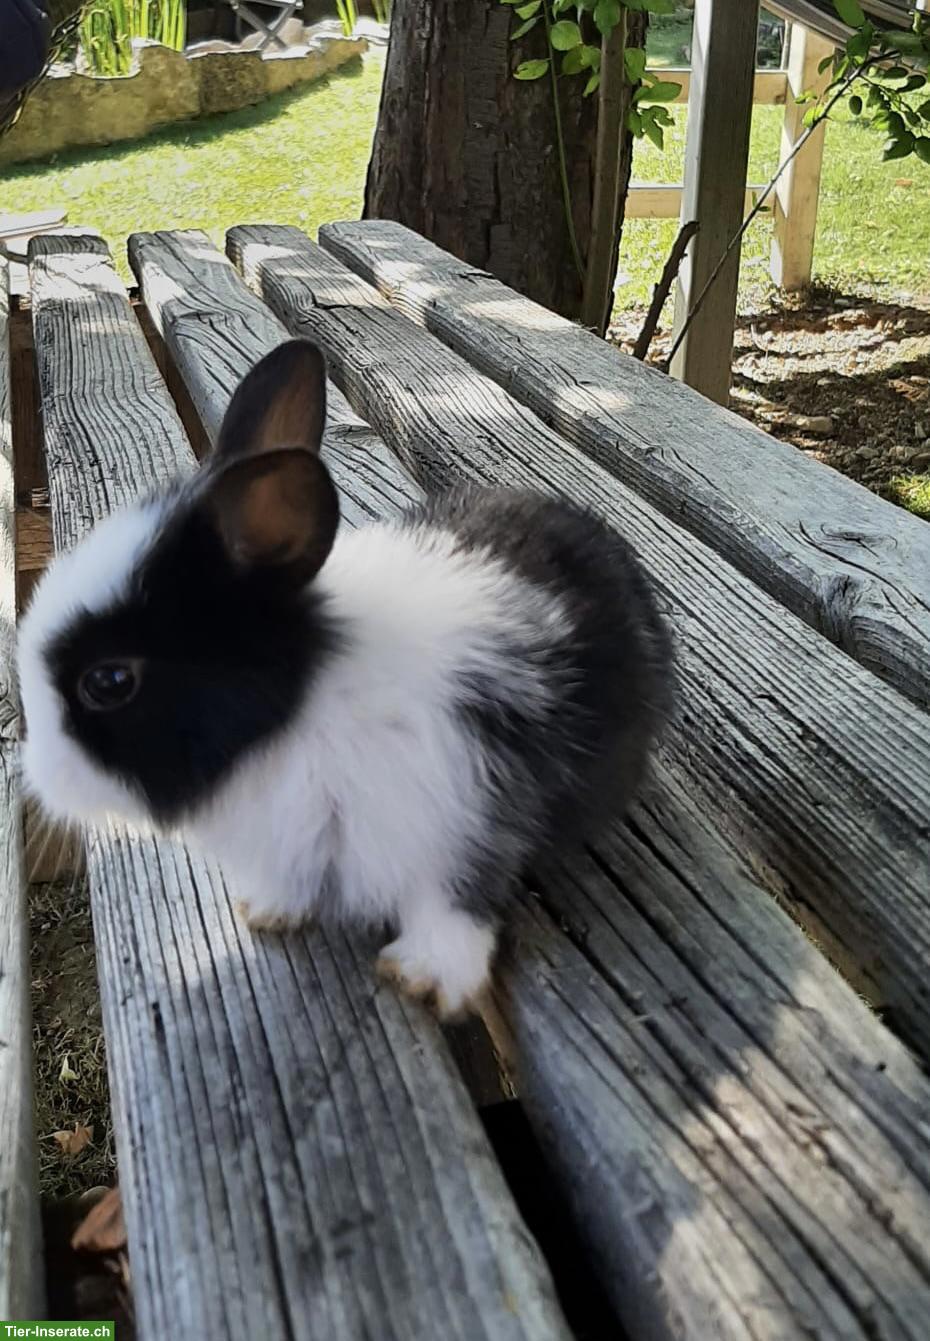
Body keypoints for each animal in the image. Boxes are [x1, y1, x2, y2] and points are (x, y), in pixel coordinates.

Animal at [17, 339, 673, 1018]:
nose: (36, 776)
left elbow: (454, 902)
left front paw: (424, 977)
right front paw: (267, 911)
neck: (303, 708)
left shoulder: (468, 814)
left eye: (110, 682)